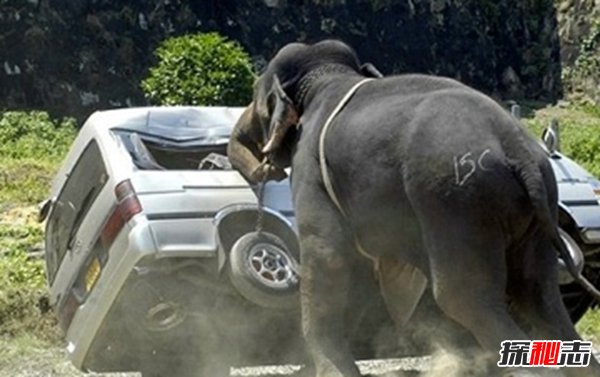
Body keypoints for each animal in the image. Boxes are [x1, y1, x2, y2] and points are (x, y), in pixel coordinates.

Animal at [227, 39, 600, 374]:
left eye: (257, 98)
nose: (265, 168)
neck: (328, 75)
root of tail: (518, 152)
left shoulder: (311, 171)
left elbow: (330, 257)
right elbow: (363, 271)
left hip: (455, 203)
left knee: (465, 297)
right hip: (534, 211)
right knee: (539, 295)